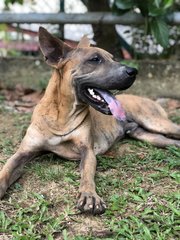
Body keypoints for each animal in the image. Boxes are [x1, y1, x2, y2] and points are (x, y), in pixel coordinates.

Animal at [0, 27, 180, 215]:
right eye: (95, 59)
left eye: (113, 58)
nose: (134, 71)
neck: (61, 117)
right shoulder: (23, 152)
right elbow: (6, 168)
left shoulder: (87, 151)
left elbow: (87, 174)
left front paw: (89, 196)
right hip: (148, 136)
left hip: (156, 122)